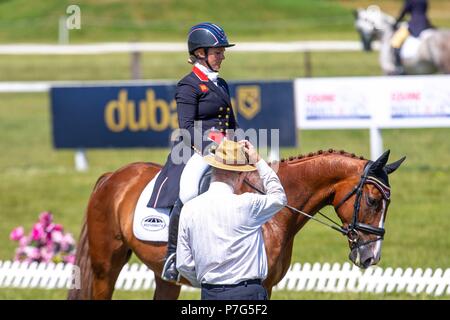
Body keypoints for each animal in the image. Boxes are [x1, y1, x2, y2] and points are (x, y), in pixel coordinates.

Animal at [68, 149, 406, 298]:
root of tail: (112, 176)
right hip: (105, 267)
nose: (370, 257)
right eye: (373, 200)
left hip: (165, 279)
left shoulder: (266, 285)